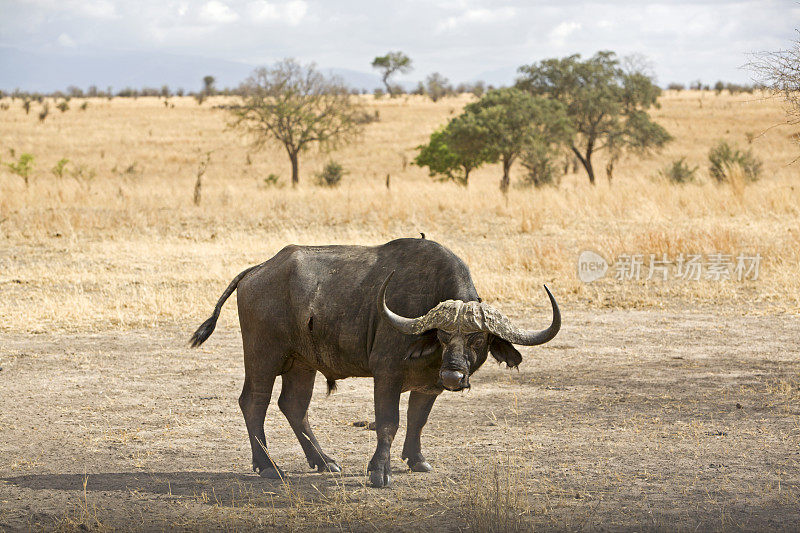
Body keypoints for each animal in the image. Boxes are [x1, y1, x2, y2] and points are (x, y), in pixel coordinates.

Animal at [190, 237, 560, 486]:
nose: (454, 376)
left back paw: (324, 461)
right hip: (263, 357)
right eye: (441, 336)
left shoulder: (428, 385)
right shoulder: (387, 374)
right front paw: (379, 472)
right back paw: (268, 466)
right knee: (254, 402)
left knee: (293, 405)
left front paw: (417, 460)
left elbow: (417, 421)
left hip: (302, 364)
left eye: (478, 339)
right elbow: (388, 423)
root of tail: (257, 270)